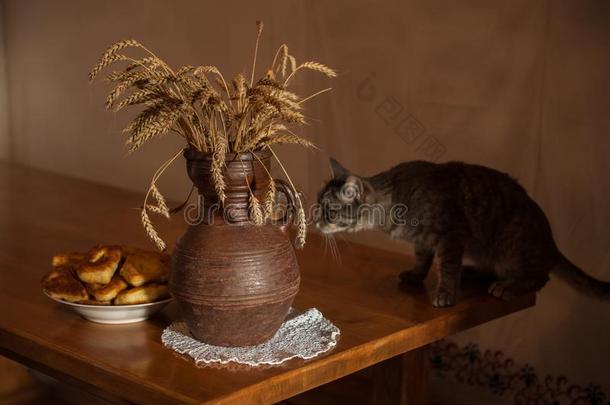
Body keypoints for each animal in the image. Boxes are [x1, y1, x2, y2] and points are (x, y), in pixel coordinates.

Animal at [314, 158, 608, 306]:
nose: (315, 218)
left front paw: (445, 292)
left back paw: (509, 286)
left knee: (539, 278)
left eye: (329, 210)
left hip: (510, 248)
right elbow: (423, 260)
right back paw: (472, 273)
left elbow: (447, 266)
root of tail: (552, 246)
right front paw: (417, 275)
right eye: (317, 203)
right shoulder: (424, 242)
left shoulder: (452, 234)